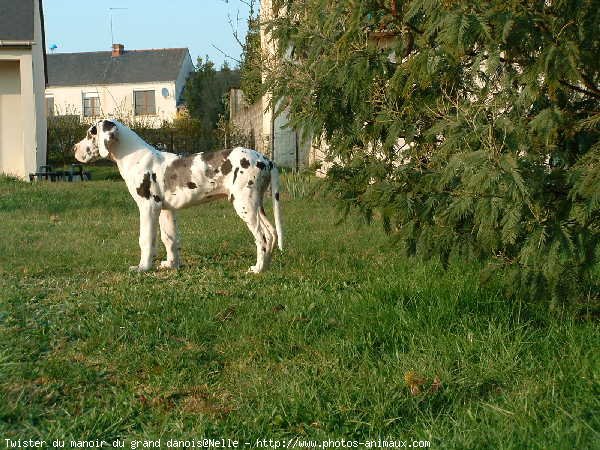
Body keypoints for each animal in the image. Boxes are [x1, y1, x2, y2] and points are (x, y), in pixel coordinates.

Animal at [73, 119, 284, 272]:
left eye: (90, 134)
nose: (74, 148)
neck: (135, 157)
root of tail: (266, 159)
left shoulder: (148, 207)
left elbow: (146, 239)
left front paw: (143, 267)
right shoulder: (166, 210)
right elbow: (170, 239)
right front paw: (171, 265)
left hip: (244, 205)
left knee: (262, 238)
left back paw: (257, 269)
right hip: (256, 205)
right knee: (271, 234)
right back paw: (266, 266)